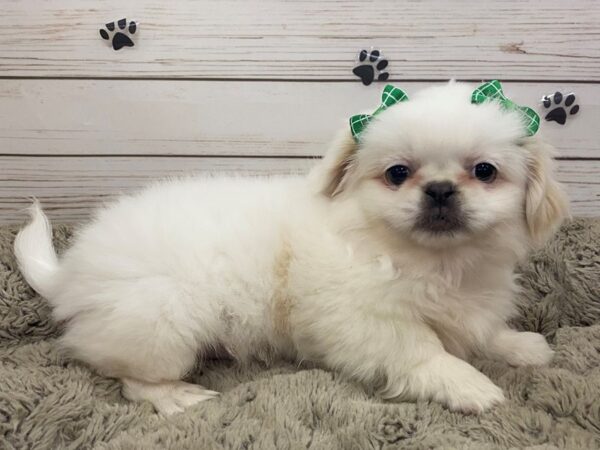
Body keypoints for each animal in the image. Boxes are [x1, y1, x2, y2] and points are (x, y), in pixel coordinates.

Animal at [12, 80, 568, 414]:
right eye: (397, 174)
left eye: (484, 172)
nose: (439, 190)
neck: (434, 262)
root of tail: (68, 273)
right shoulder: (366, 324)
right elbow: (422, 352)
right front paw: (470, 385)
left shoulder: (469, 304)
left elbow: (484, 332)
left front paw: (520, 346)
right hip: (160, 327)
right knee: (128, 377)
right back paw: (179, 399)